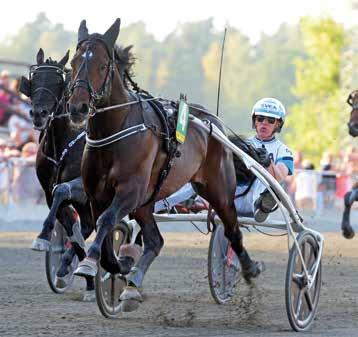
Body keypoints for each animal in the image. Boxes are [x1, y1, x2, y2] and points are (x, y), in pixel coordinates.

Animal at [66, 19, 262, 310]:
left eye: (102, 65)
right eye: (74, 63)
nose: (77, 107)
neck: (113, 132)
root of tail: (213, 122)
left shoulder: (129, 191)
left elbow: (106, 220)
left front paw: (91, 264)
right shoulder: (97, 196)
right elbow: (106, 238)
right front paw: (119, 265)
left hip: (219, 190)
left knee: (232, 230)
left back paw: (249, 268)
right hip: (146, 202)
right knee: (155, 241)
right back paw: (132, 284)